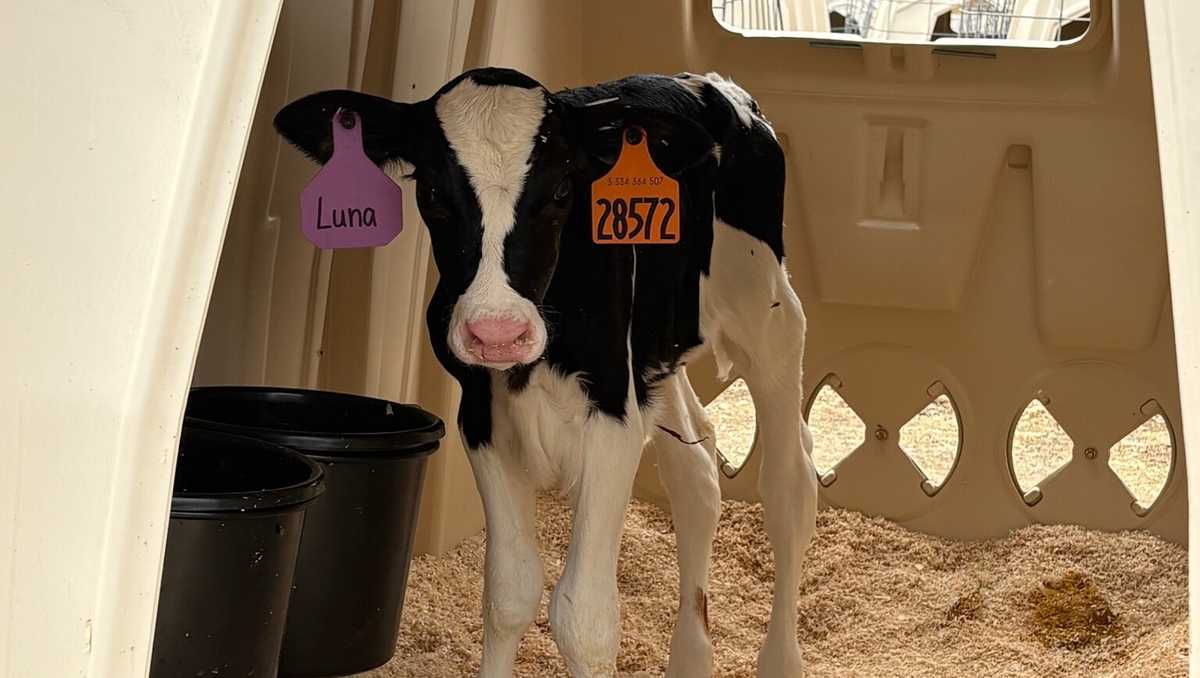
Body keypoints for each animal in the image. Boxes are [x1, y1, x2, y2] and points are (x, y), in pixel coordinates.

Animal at [274, 67, 818, 678]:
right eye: (432, 192)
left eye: (561, 192)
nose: (497, 331)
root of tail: (708, 82)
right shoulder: (482, 417)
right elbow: (509, 593)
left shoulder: (612, 413)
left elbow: (584, 620)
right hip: (658, 355)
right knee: (696, 472)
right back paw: (691, 658)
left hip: (771, 317)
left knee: (789, 485)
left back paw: (781, 658)